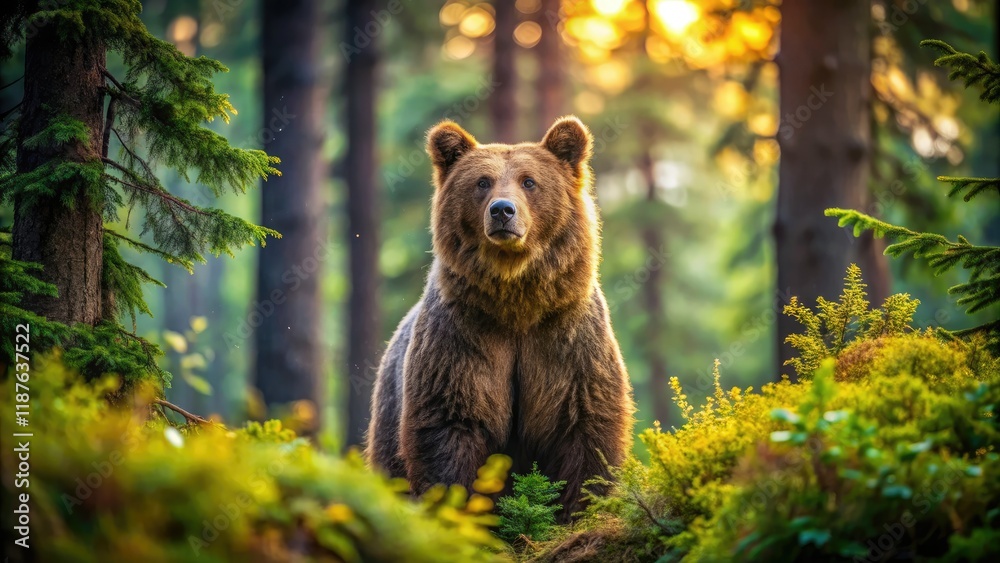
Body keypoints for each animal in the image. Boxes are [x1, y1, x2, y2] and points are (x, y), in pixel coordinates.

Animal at [365, 116, 634, 520]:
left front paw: (579, 509)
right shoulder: (464, 337)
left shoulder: (565, 338)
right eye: (482, 182)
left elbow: (584, 423)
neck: (515, 304)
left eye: (529, 181)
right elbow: (451, 422)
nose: (502, 210)